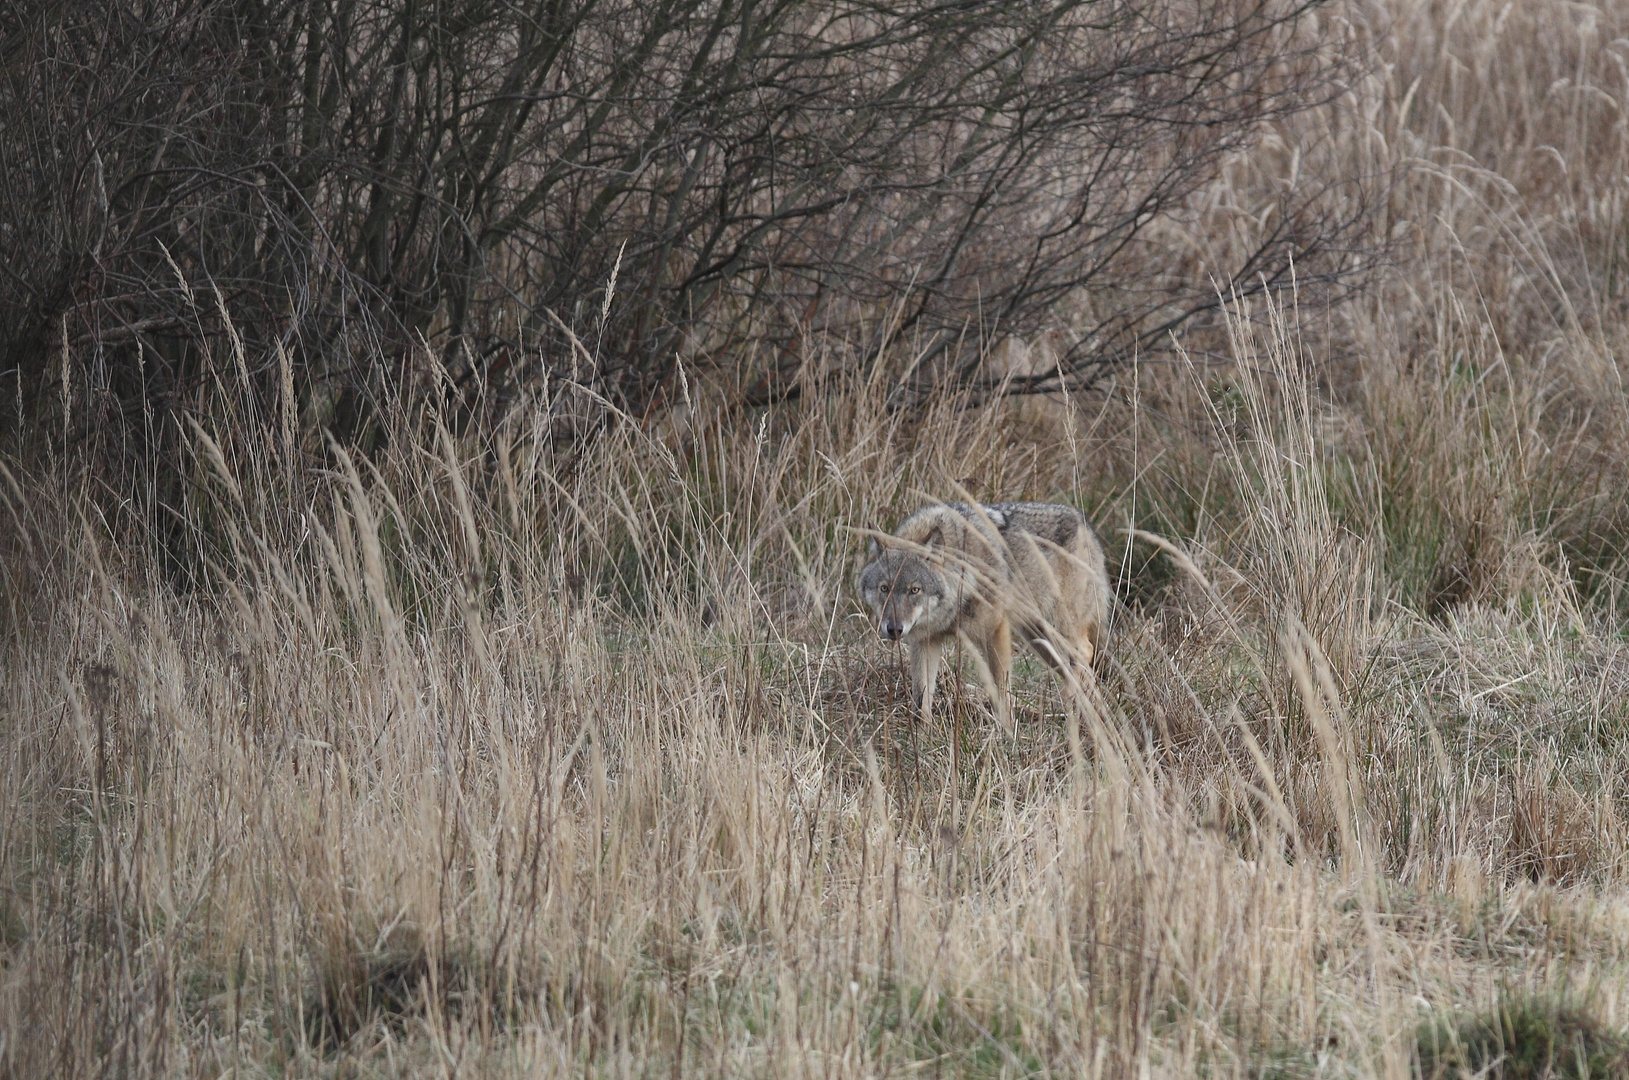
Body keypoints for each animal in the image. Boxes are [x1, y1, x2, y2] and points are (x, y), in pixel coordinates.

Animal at [853, 504, 1107, 726]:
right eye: (884, 588)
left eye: (914, 590)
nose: (894, 629)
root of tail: (1085, 523)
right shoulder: (926, 642)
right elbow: (922, 699)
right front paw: (923, 736)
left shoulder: (996, 632)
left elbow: (1001, 692)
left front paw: (1005, 734)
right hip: (1041, 640)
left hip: (1058, 633)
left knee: (1084, 654)